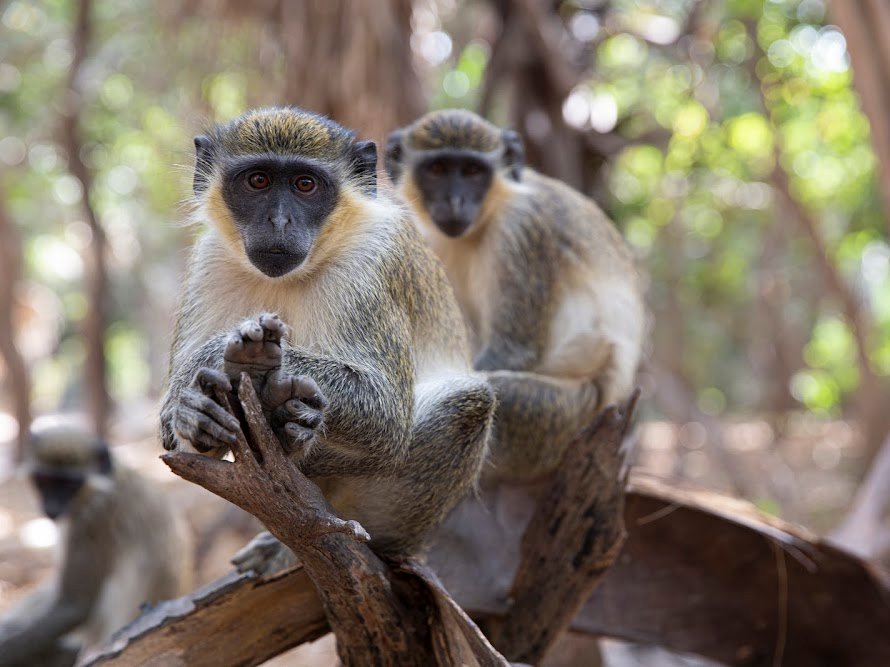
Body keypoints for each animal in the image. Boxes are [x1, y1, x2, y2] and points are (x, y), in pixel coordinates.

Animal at [159, 106, 495, 566]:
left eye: (305, 184)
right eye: (258, 180)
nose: (279, 220)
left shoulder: (371, 263)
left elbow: (387, 413)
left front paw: (224, 357)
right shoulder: (209, 263)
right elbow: (175, 441)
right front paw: (194, 409)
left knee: (468, 403)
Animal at [385, 109, 645, 483]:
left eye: (472, 171)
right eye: (437, 169)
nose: (454, 201)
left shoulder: (521, 228)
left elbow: (513, 351)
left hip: (566, 418)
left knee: (496, 395)